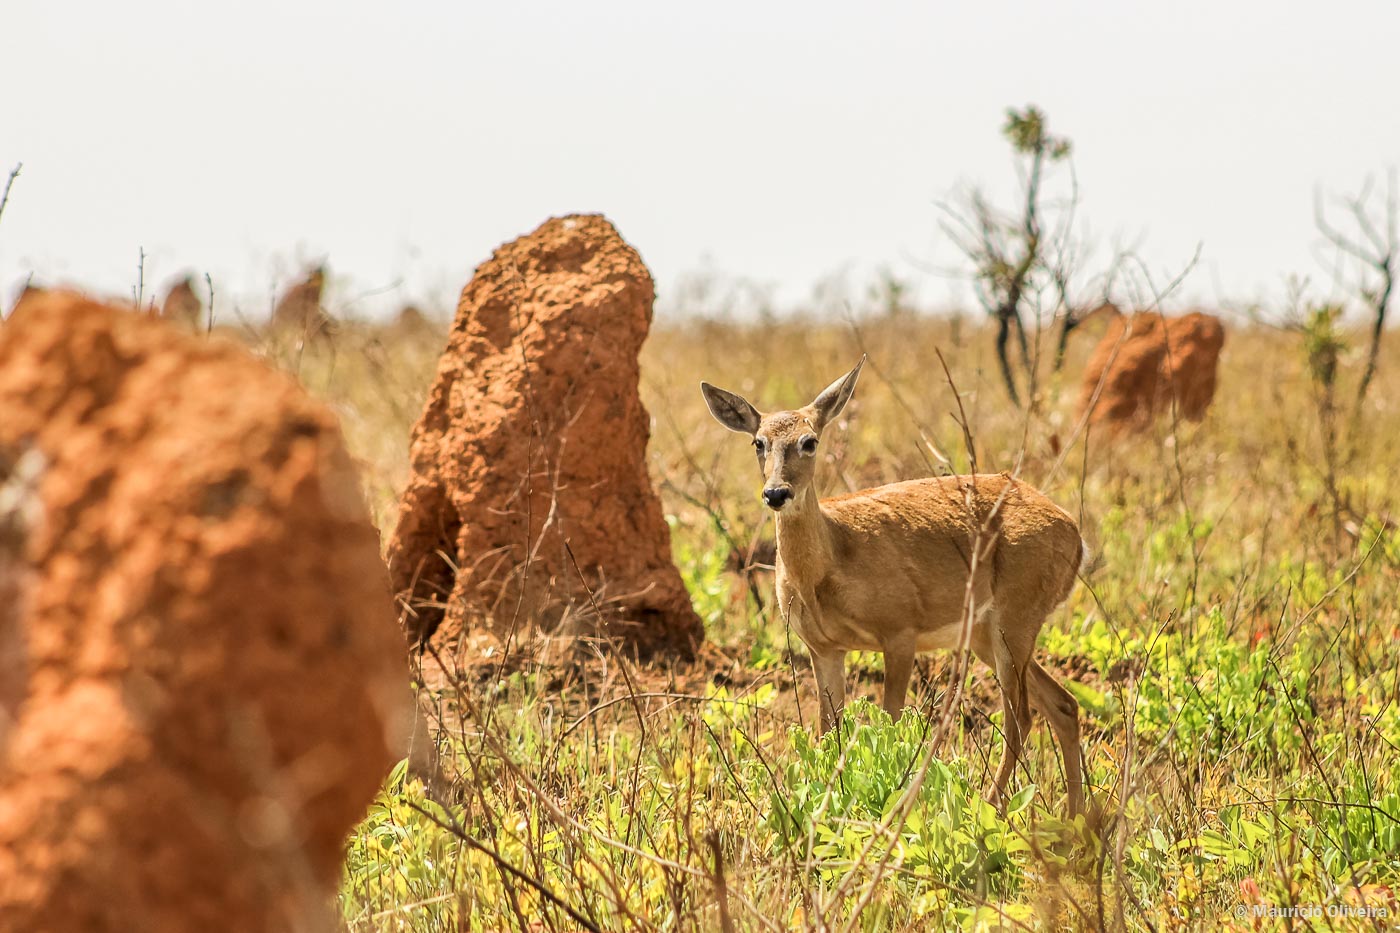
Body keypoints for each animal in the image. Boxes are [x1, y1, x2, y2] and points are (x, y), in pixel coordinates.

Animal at [705, 358, 1086, 812]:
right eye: (758, 442)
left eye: (809, 440)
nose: (777, 492)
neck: (833, 556)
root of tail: (1073, 531)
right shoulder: (824, 649)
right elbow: (827, 732)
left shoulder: (900, 634)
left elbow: (890, 727)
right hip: (986, 635)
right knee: (1064, 704)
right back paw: (1079, 820)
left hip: (1015, 622)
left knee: (1022, 717)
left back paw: (991, 806)